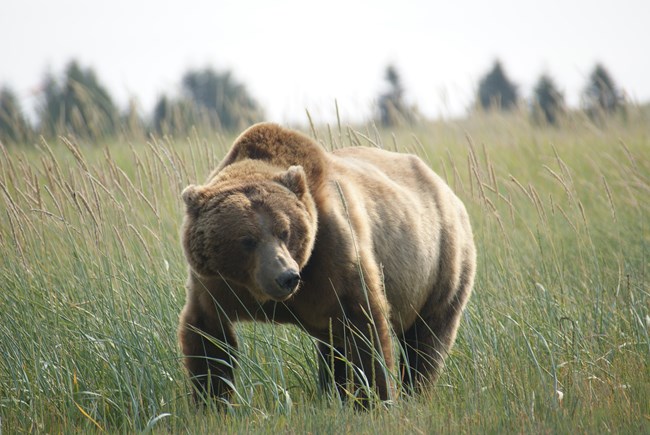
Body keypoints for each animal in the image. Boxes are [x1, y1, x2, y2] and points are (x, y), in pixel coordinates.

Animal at [177, 122, 476, 406]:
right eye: (247, 240)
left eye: (284, 231)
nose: (286, 276)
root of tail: (448, 191)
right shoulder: (216, 284)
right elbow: (208, 337)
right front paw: (211, 402)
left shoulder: (332, 254)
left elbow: (366, 325)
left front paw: (376, 400)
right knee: (335, 351)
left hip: (442, 262)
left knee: (426, 340)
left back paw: (414, 390)